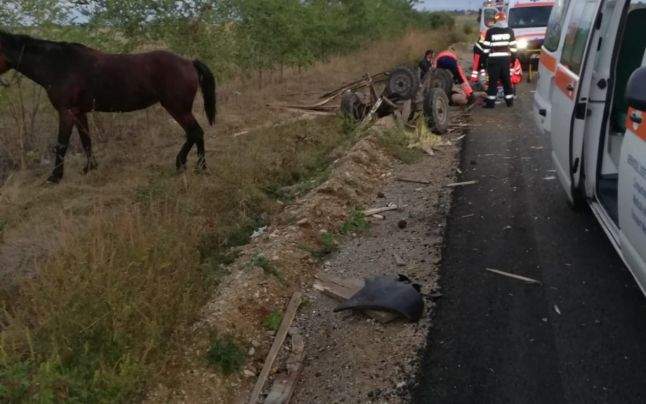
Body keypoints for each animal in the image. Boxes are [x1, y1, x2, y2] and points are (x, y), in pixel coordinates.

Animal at [0, 31, 218, 183]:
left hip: (177, 108)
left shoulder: (66, 112)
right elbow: (86, 141)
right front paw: (89, 168)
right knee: (193, 133)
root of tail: (189, 62)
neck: (59, 66)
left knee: (195, 132)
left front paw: (54, 177)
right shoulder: (78, 113)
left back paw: (194, 165)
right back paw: (192, 164)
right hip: (178, 108)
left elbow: (61, 144)